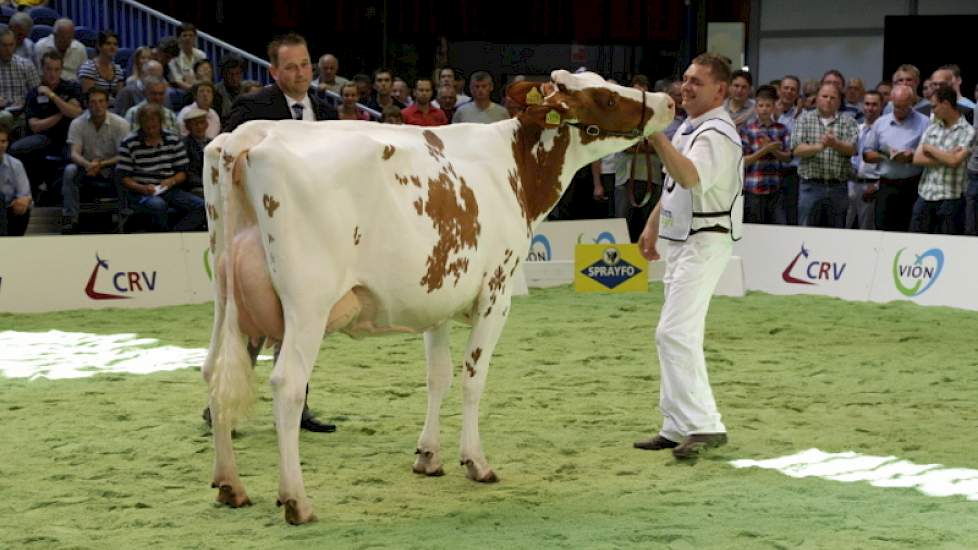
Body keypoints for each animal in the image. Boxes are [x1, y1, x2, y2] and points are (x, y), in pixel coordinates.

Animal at [198, 70, 672, 528]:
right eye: (605, 97)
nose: (667, 102)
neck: (514, 168)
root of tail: (246, 138)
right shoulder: (497, 292)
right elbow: (472, 378)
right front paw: (475, 461)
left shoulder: (438, 298)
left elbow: (437, 377)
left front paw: (428, 455)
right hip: (307, 303)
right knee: (288, 385)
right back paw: (296, 500)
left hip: (226, 298)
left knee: (213, 372)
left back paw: (229, 485)